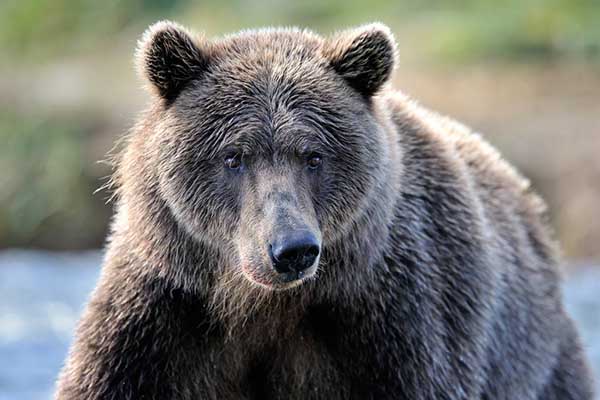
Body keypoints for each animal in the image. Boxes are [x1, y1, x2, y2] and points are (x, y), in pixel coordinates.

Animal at [54, 21, 592, 400]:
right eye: (234, 155)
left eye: (314, 155)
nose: (291, 249)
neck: (257, 305)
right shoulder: (161, 316)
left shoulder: (395, 323)